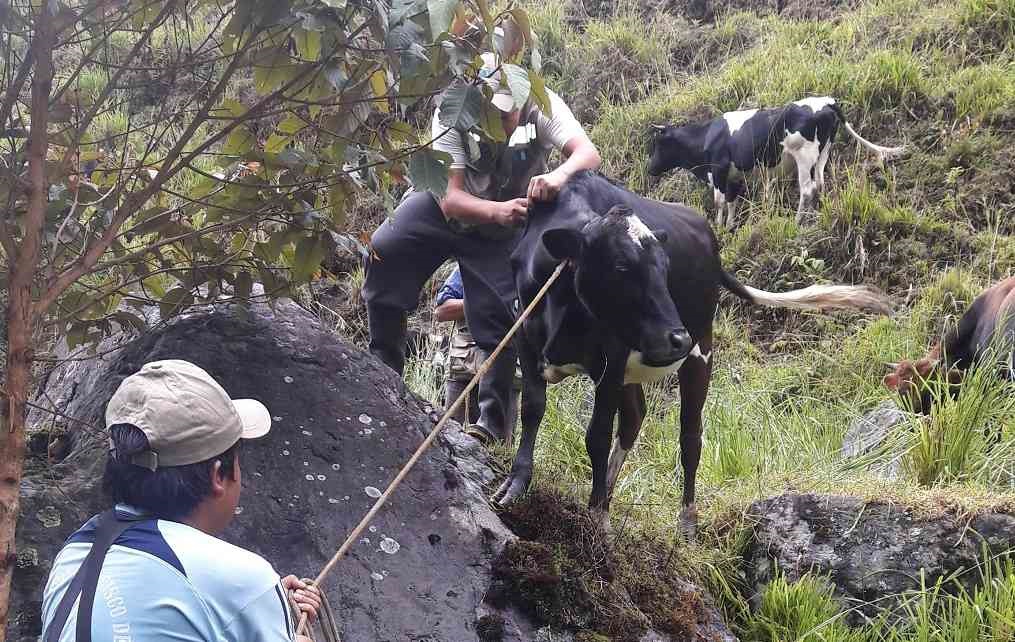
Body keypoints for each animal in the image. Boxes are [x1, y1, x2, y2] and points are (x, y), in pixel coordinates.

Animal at [495, 167, 893, 527]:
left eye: (665, 266)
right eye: (621, 265)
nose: (677, 338)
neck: (562, 299)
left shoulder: (612, 358)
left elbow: (597, 435)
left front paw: (596, 518)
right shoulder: (524, 337)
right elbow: (532, 408)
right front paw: (517, 483)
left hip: (701, 352)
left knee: (690, 436)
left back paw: (686, 520)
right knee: (635, 416)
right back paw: (608, 494)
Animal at [645, 95, 901, 225]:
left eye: (658, 144)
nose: (650, 169)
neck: (707, 136)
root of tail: (826, 101)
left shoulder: (718, 170)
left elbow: (719, 202)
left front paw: (718, 228)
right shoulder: (734, 177)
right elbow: (731, 202)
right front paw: (729, 228)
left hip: (804, 155)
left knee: (807, 189)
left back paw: (797, 222)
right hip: (823, 151)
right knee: (820, 183)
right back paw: (816, 213)